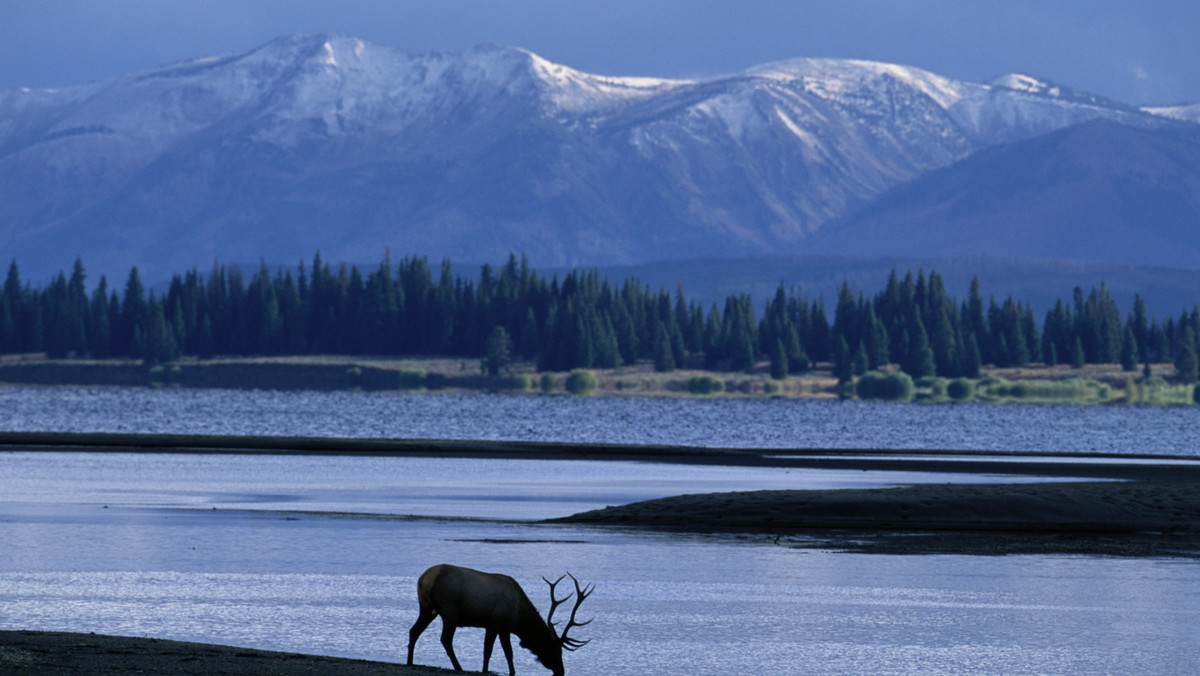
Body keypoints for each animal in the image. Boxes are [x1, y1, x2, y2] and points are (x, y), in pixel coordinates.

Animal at [408, 564, 595, 672]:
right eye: (555, 649)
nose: (561, 671)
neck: (518, 618)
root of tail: (423, 578)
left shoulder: (505, 628)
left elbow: (509, 653)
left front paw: (512, 672)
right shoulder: (494, 623)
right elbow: (488, 651)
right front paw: (484, 670)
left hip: (427, 608)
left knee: (414, 631)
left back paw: (409, 662)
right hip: (449, 611)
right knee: (445, 639)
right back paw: (458, 667)